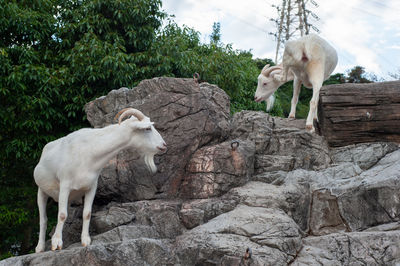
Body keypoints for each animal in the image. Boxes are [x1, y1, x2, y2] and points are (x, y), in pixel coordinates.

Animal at [32, 107, 167, 251]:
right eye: (148, 128)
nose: (163, 145)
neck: (89, 152)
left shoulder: (91, 187)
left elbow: (86, 213)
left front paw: (85, 240)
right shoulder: (65, 185)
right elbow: (62, 215)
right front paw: (57, 243)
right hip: (41, 191)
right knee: (43, 219)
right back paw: (40, 247)